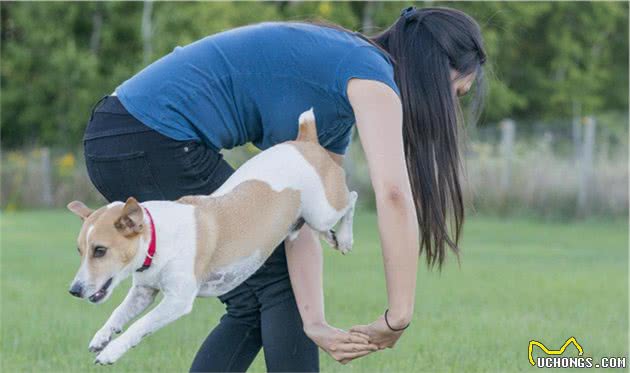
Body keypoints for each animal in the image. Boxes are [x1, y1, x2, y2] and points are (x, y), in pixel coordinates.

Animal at [68, 107, 360, 364]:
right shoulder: (143, 290)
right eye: (80, 251)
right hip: (312, 212)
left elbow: (140, 325)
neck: (157, 238)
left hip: (323, 209)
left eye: (100, 250)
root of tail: (304, 141)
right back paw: (326, 236)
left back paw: (344, 237)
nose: (74, 290)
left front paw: (112, 351)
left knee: (352, 198)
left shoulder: (178, 300)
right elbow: (119, 312)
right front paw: (102, 335)